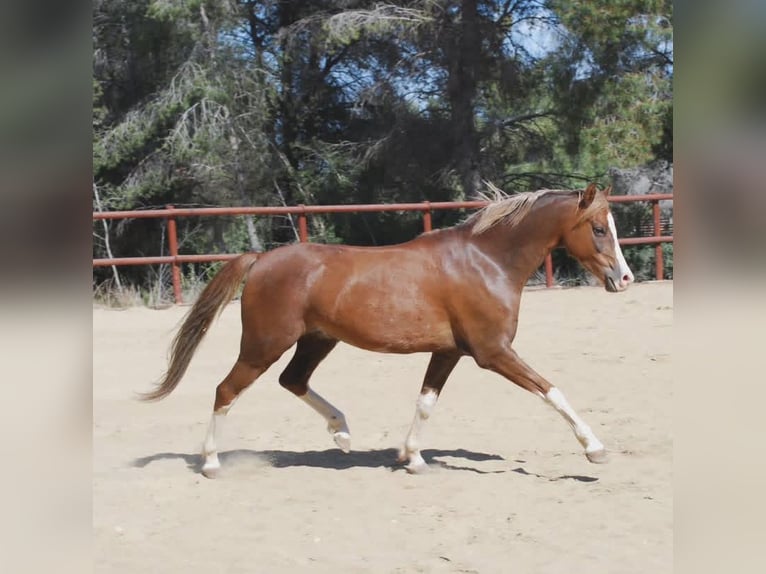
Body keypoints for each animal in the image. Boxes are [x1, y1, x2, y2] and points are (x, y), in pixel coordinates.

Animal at [142, 183, 636, 476]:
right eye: (598, 229)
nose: (626, 278)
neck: (486, 261)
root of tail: (261, 259)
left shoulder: (450, 351)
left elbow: (425, 402)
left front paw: (412, 457)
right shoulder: (492, 352)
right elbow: (552, 391)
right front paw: (595, 448)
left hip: (316, 341)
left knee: (293, 380)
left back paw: (342, 433)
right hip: (264, 344)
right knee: (226, 390)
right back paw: (210, 463)